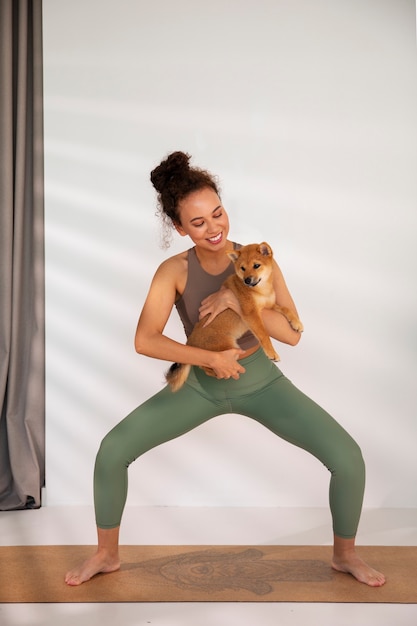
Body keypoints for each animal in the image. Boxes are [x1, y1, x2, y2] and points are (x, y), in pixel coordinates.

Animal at [166, 240, 302, 390]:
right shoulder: (251, 313)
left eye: (256, 265)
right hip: (228, 350)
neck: (260, 290)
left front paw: (297, 323)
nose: (247, 280)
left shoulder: (270, 307)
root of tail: (190, 342)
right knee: (206, 365)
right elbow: (264, 335)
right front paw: (272, 353)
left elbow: (286, 309)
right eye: (242, 268)